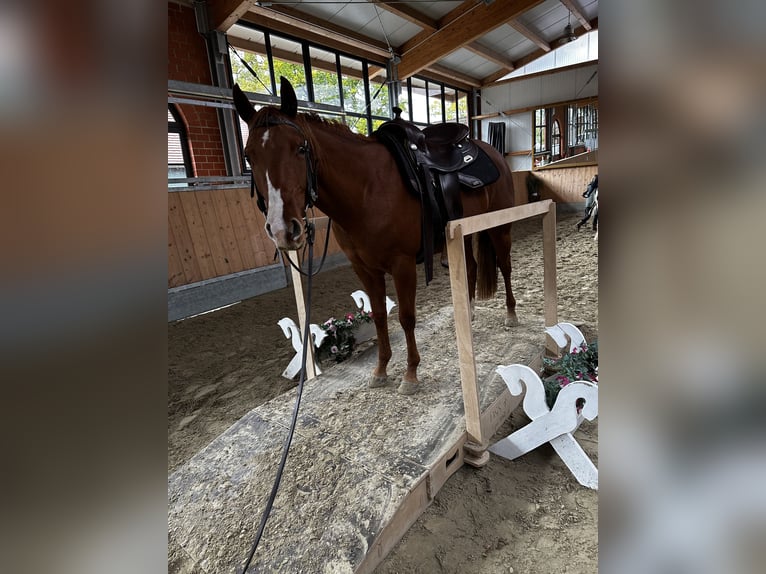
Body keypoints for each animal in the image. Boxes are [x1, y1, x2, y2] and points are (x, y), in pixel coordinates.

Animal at [233, 77, 518, 395]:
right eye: (248, 155)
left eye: (300, 149)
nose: (283, 229)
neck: (367, 189)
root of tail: (491, 152)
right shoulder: (364, 268)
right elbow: (380, 315)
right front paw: (381, 370)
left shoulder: (402, 265)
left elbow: (406, 317)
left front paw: (410, 374)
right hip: (462, 235)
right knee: (471, 268)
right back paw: (468, 313)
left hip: (499, 228)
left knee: (505, 266)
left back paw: (511, 315)